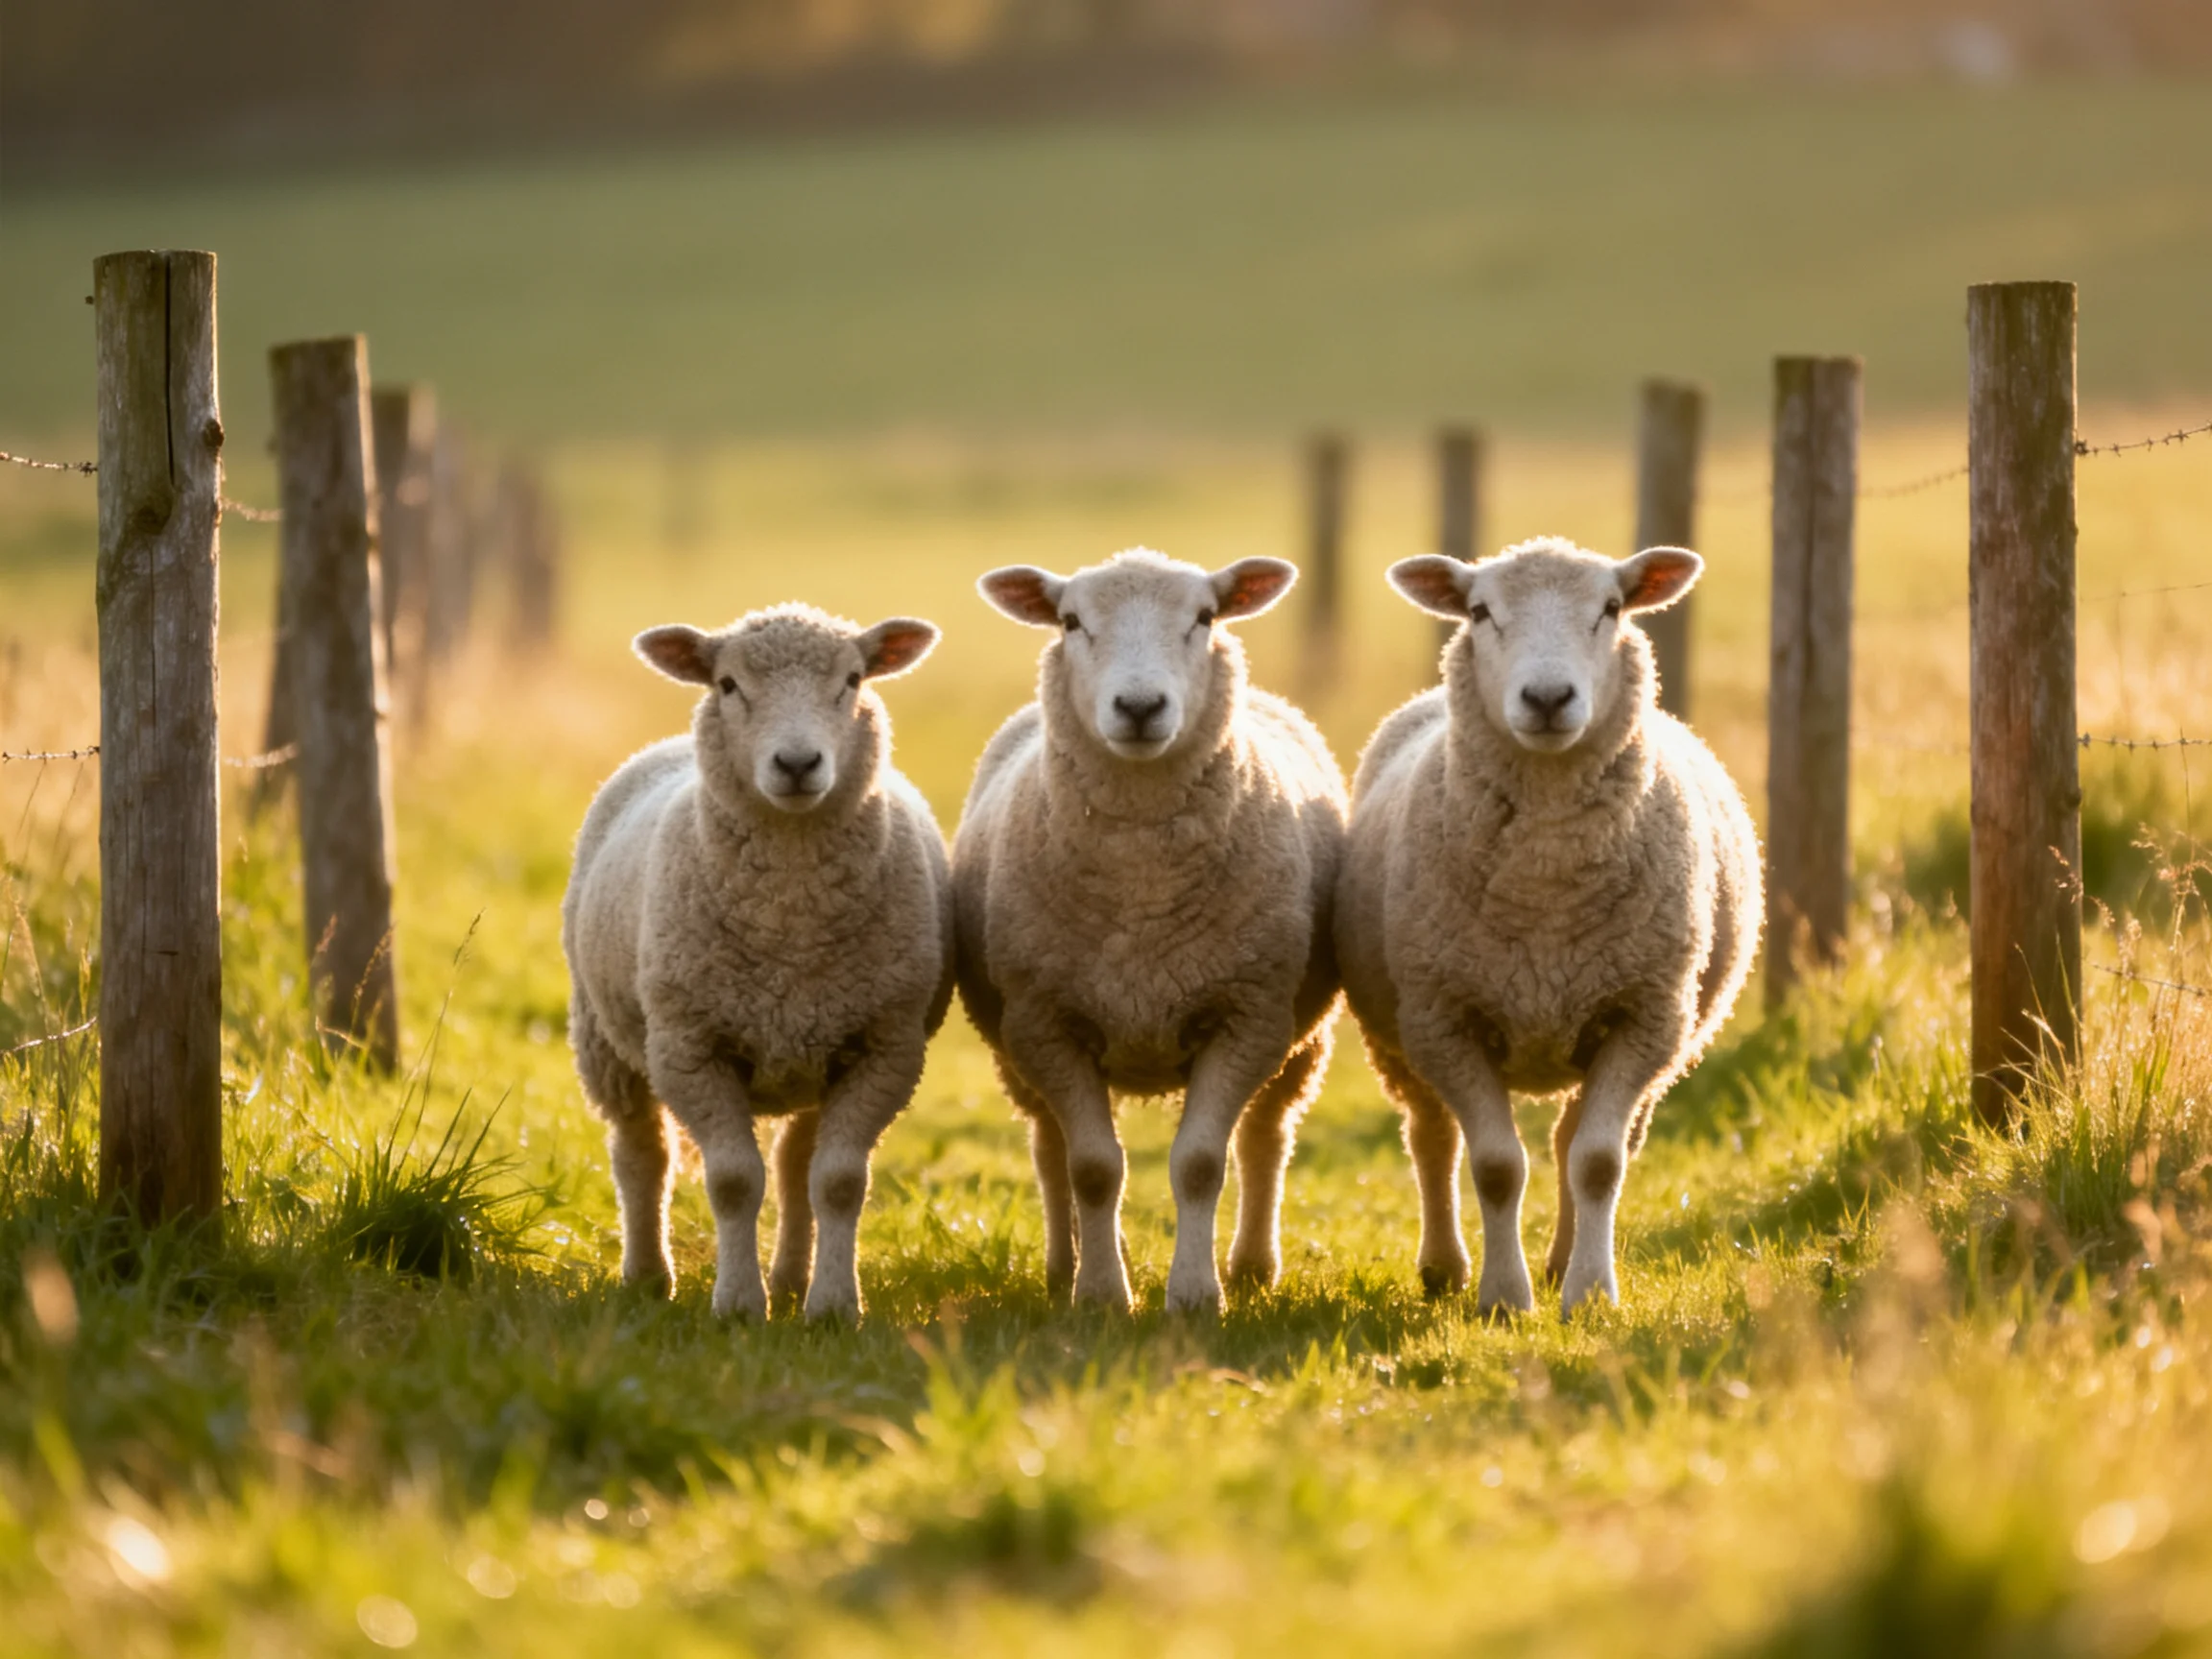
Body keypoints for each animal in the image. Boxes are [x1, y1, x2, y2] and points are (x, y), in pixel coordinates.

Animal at [561, 602, 953, 1323]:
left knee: (797, 1162)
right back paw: (647, 1275)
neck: (790, 923)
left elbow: (838, 1181)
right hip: (605, 1040)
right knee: (640, 1154)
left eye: (852, 680)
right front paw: (739, 1305)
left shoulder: (883, 1047)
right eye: (728, 684)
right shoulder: (689, 1047)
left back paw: (793, 1278)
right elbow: (734, 1181)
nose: (797, 762)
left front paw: (833, 1307)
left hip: (813, 1051)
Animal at [953, 548, 1347, 1314]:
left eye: (1205, 616)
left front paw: (1195, 1295)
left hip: (1301, 1039)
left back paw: (1252, 1265)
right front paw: (1103, 1294)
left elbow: (1200, 1163)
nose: (1139, 708)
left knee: (1267, 1136)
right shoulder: (1046, 1022)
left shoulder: (1247, 1016)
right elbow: (1092, 1167)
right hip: (1016, 1048)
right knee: (1047, 1144)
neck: (1141, 894)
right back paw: (1062, 1265)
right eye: (1071, 621)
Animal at [1335, 536, 1761, 1317]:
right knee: (1431, 1136)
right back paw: (1443, 1267)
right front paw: (1504, 1299)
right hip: (1399, 1035)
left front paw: (1589, 1292)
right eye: (1479, 611)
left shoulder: (1645, 1016)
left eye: (1612, 608)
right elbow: (1496, 1165)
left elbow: (1597, 1161)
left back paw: (1563, 1261)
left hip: (1657, 1040)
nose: (1548, 698)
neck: (1546, 885)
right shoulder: (1446, 1018)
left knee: (1574, 1139)